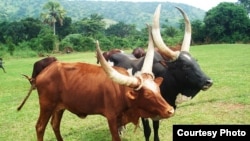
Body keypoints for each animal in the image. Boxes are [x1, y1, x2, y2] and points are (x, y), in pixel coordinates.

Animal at [17, 28, 174, 140]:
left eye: (158, 90)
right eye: (147, 94)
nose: (170, 110)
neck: (121, 92)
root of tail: (41, 74)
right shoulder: (112, 118)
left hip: (59, 107)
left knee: (55, 125)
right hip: (46, 105)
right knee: (40, 127)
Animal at [108, 4, 212, 141]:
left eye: (196, 61)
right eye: (185, 66)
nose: (209, 81)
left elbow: (156, 129)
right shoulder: (144, 112)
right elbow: (148, 131)